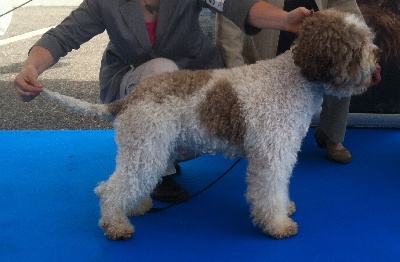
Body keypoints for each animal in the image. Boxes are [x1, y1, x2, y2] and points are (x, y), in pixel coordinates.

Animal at [43, 9, 382, 239]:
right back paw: (116, 225)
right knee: (113, 189)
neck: (294, 78)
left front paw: (285, 208)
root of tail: (129, 98)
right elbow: (270, 191)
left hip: (150, 149)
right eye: (355, 45)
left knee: (112, 184)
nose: (378, 58)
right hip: (146, 149)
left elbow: (280, 188)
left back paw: (135, 206)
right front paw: (278, 225)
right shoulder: (272, 155)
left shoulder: (281, 152)